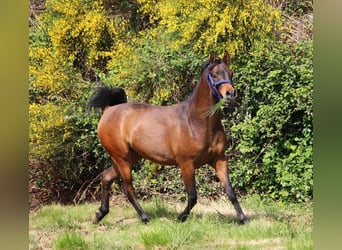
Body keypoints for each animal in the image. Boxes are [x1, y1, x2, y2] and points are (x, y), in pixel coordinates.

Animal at [88, 51, 247, 224]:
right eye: (214, 74)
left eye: (230, 73)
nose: (231, 95)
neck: (197, 121)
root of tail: (108, 110)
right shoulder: (186, 164)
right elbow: (193, 196)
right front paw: (181, 217)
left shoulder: (219, 160)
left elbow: (230, 191)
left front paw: (243, 219)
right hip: (122, 159)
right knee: (128, 189)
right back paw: (145, 218)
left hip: (130, 157)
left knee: (106, 177)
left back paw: (100, 214)